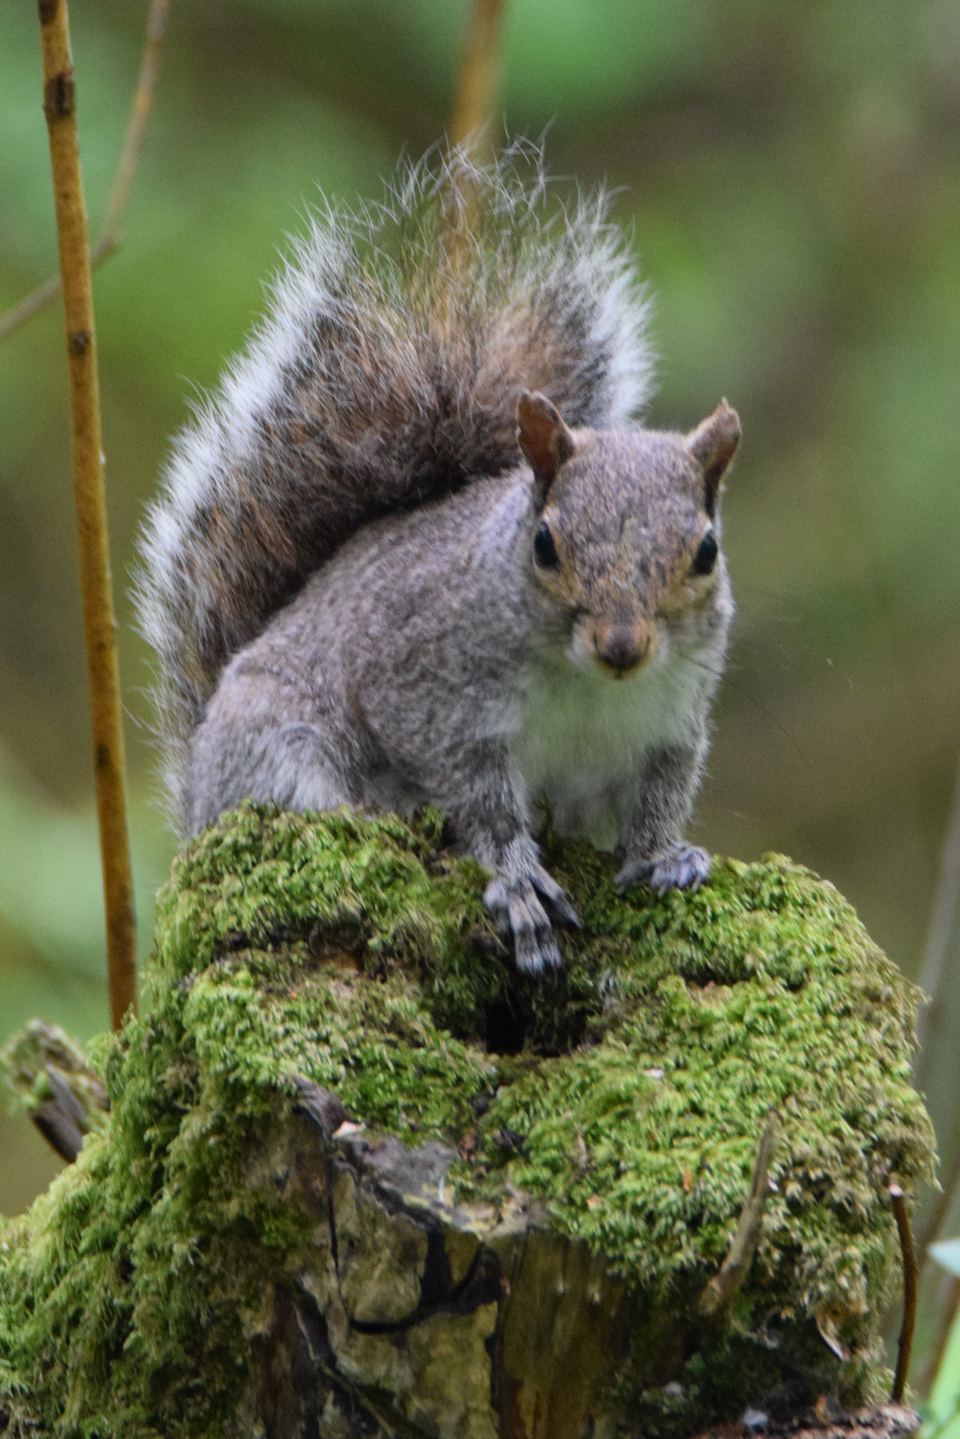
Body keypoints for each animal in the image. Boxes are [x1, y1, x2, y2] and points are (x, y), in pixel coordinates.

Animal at [137, 146, 740, 975]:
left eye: (705, 550)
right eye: (545, 543)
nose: (622, 646)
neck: (591, 688)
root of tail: (197, 795)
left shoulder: (672, 723)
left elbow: (657, 799)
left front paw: (664, 857)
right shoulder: (428, 696)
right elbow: (478, 800)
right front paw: (517, 879)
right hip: (274, 752)